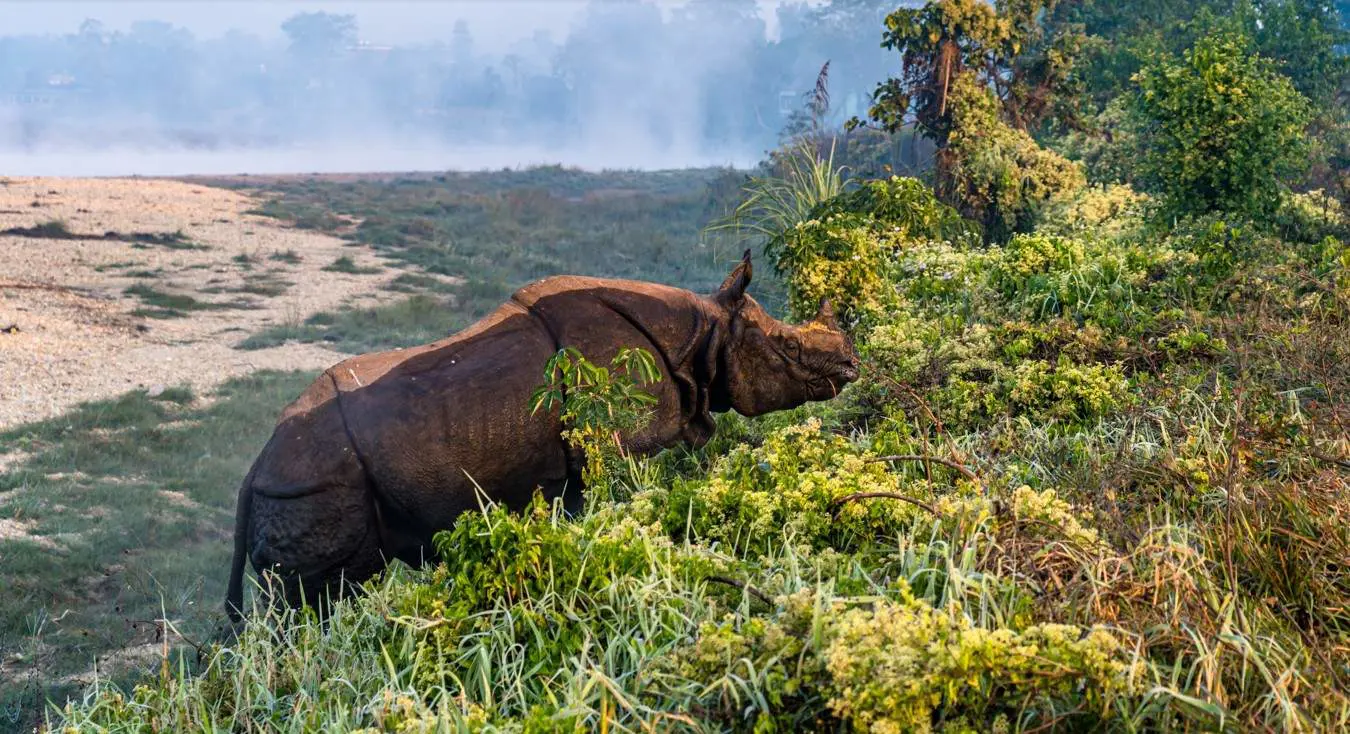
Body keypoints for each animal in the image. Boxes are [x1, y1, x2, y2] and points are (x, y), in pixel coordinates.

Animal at [225, 250, 859, 622]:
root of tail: (256, 468)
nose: (853, 366)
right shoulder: (623, 446)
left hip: (307, 480)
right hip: (313, 484)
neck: (703, 335)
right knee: (317, 600)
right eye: (788, 348)